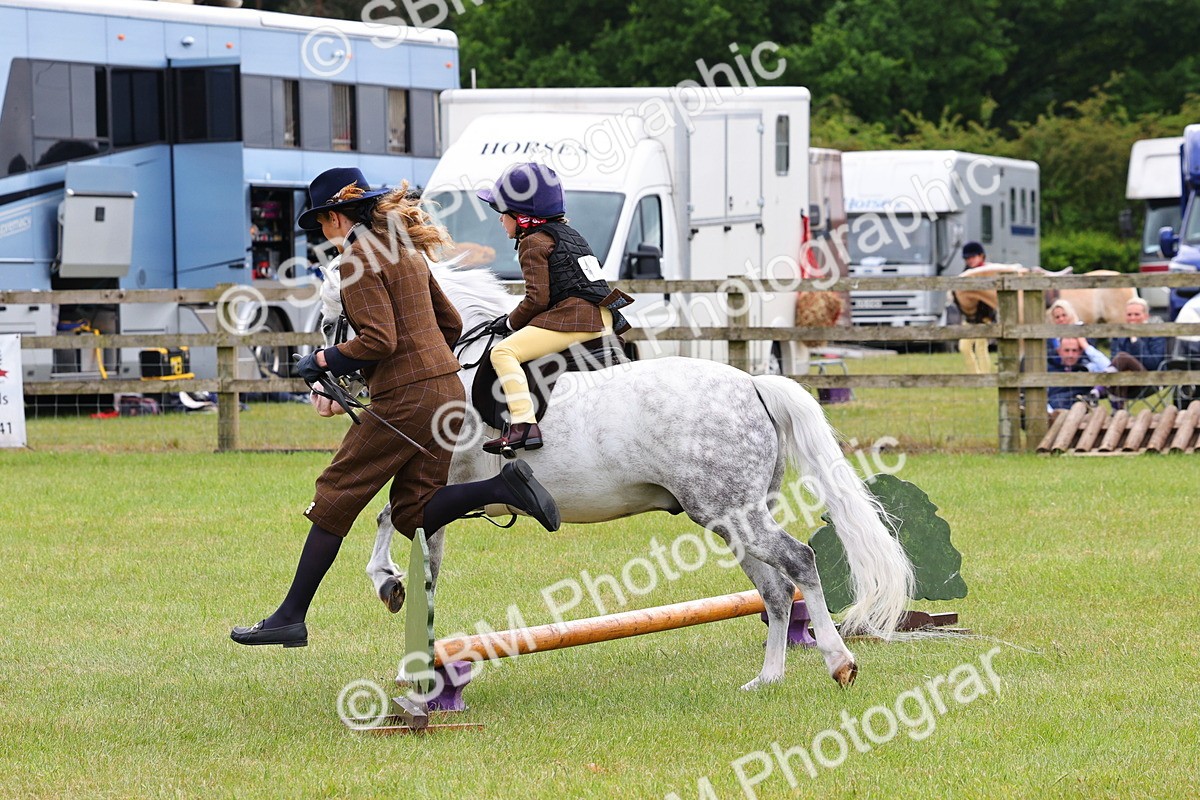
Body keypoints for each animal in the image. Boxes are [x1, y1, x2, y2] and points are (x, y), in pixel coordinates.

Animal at [319, 260, 915, 690]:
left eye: (331, 316)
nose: (324, 385)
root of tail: (752, 383)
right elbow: (402, 531)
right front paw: (397, 596)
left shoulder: (445, 485)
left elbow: (404, 536)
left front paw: (392, 596)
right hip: (733, 518)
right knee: (773, 589)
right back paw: (767, 679)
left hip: (732, 512)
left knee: (799, 562)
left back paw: (839, 663)